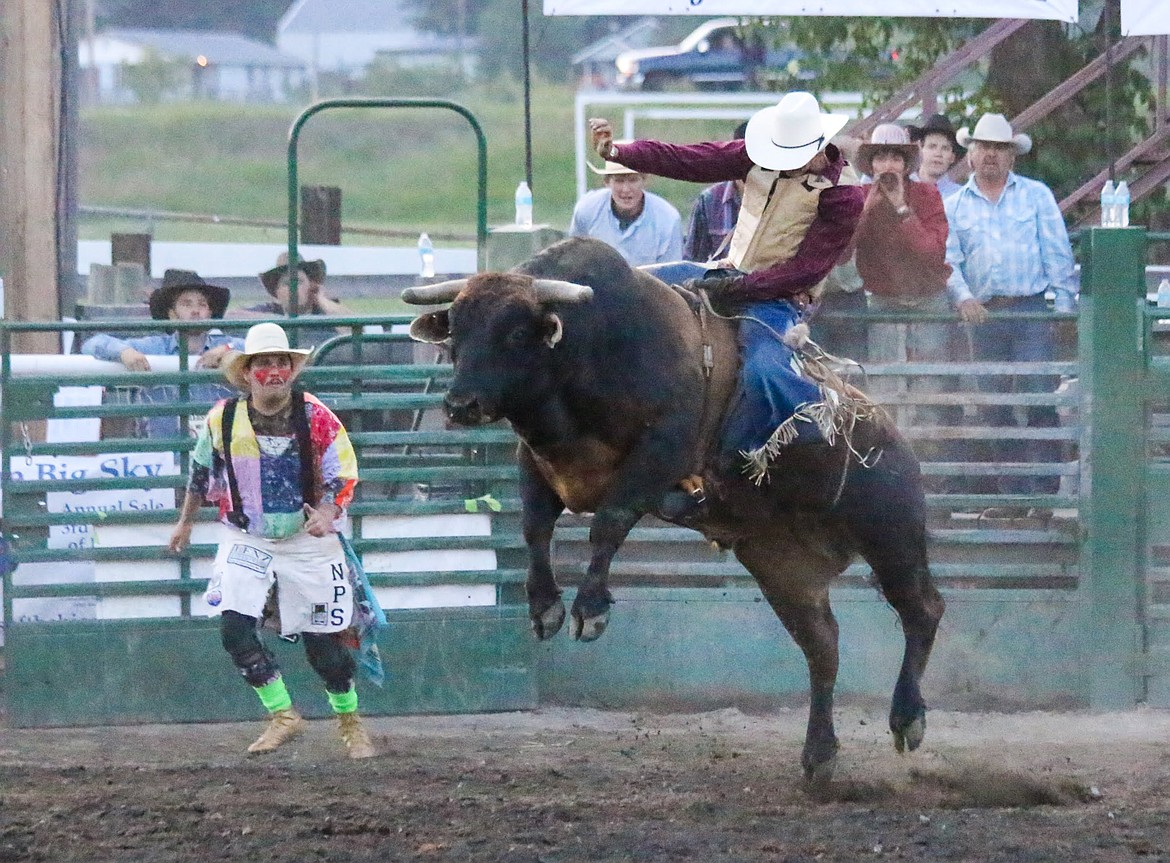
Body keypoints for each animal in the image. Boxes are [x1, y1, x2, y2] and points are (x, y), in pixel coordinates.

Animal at [407, 237, 945, 781]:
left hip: (891, 534)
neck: (589, 349)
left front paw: (590, 610)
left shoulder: (661, 447)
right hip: (784, 572)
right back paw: (819, 754)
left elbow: (610, 522)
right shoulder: (535, 460)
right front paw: (544, 608)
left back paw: (907, 718)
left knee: (921, 609)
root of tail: (890, 435)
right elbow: (535, 528)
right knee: (823, 647)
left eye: (516, 332)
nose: (460, 404)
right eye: (455, 332)